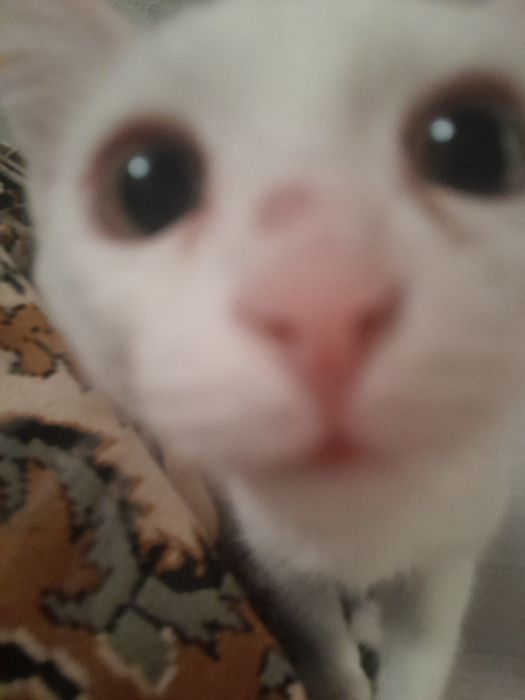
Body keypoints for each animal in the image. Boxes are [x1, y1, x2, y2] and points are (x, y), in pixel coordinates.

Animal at [2, 0, 525, 698]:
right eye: (146, 187)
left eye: (476, 148)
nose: (320, 299)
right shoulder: (282, 568)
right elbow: (323, 644)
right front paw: (340, 676)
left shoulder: (446, 559)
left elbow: (423, 656)